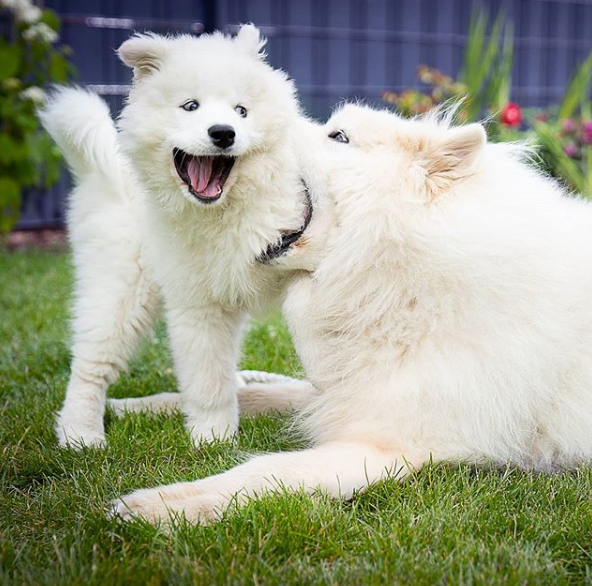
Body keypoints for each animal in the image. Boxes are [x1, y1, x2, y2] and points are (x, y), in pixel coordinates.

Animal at [39, 26, 316, 448]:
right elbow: (206, 381)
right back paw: (81, 434)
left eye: (241, 111)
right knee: (90, 364)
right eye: (190, 106)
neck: (227, 210)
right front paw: (213, 441)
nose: (223, 133)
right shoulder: (198, 302)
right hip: (121, 288)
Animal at [113, 102, 592, 524]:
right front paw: (137, 406)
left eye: (339, 136)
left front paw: (159, 505)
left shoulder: (389, 443)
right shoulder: (347, 392)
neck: (402, 279)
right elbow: (257, 395)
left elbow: (264, 470)